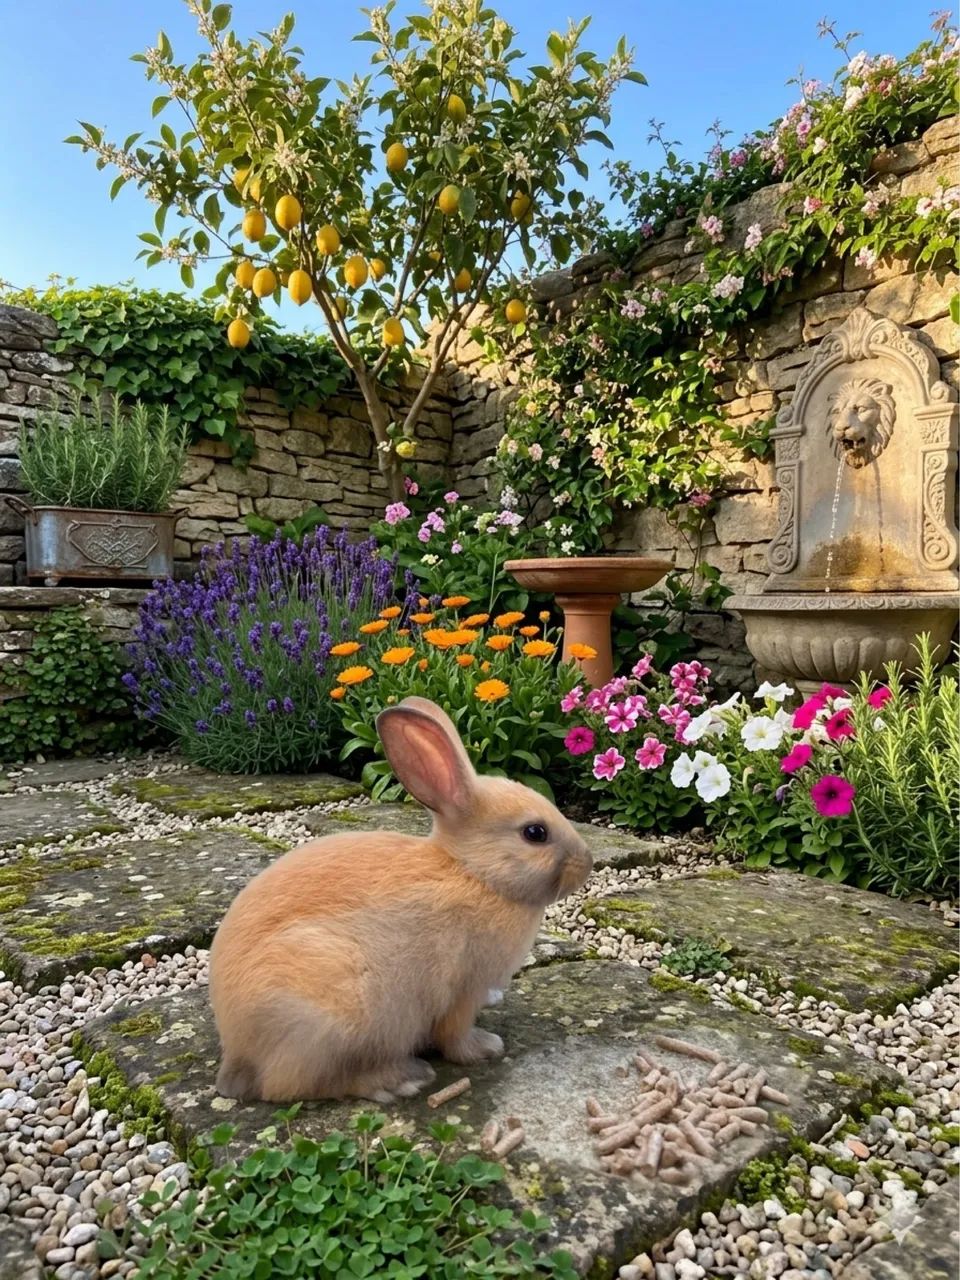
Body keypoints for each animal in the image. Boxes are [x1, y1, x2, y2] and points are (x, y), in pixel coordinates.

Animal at [208, 694, 592, 1104]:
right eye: (535, 833)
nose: (587, 862)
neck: (473, 873)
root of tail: (237, 1056)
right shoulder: (462, 990)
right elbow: (455, 1036)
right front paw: (487, 1047)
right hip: (333, 1018)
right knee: (293, 1084)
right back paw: (401, 1078)